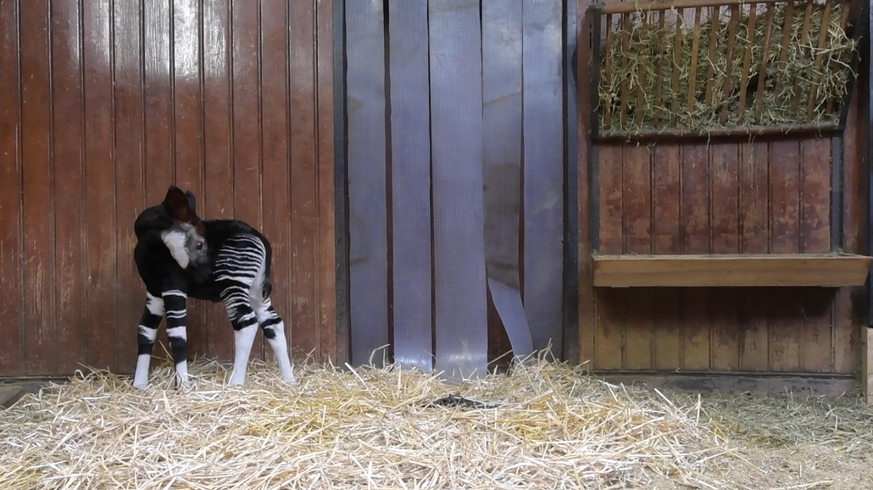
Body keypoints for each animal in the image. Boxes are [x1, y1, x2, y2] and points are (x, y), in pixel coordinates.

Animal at [129, 186, 292, 388]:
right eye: (200, 244)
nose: (208, 274)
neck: (147, 239)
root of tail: (260, 238)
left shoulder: (173, 284)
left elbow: (177, 333)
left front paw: (183, 385)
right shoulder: (153, 289)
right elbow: (146, 331)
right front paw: (139, 385)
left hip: (232, 282)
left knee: (246, 323)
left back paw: (235, 383)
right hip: (256, 290)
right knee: (272, 322)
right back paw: (289, 380)